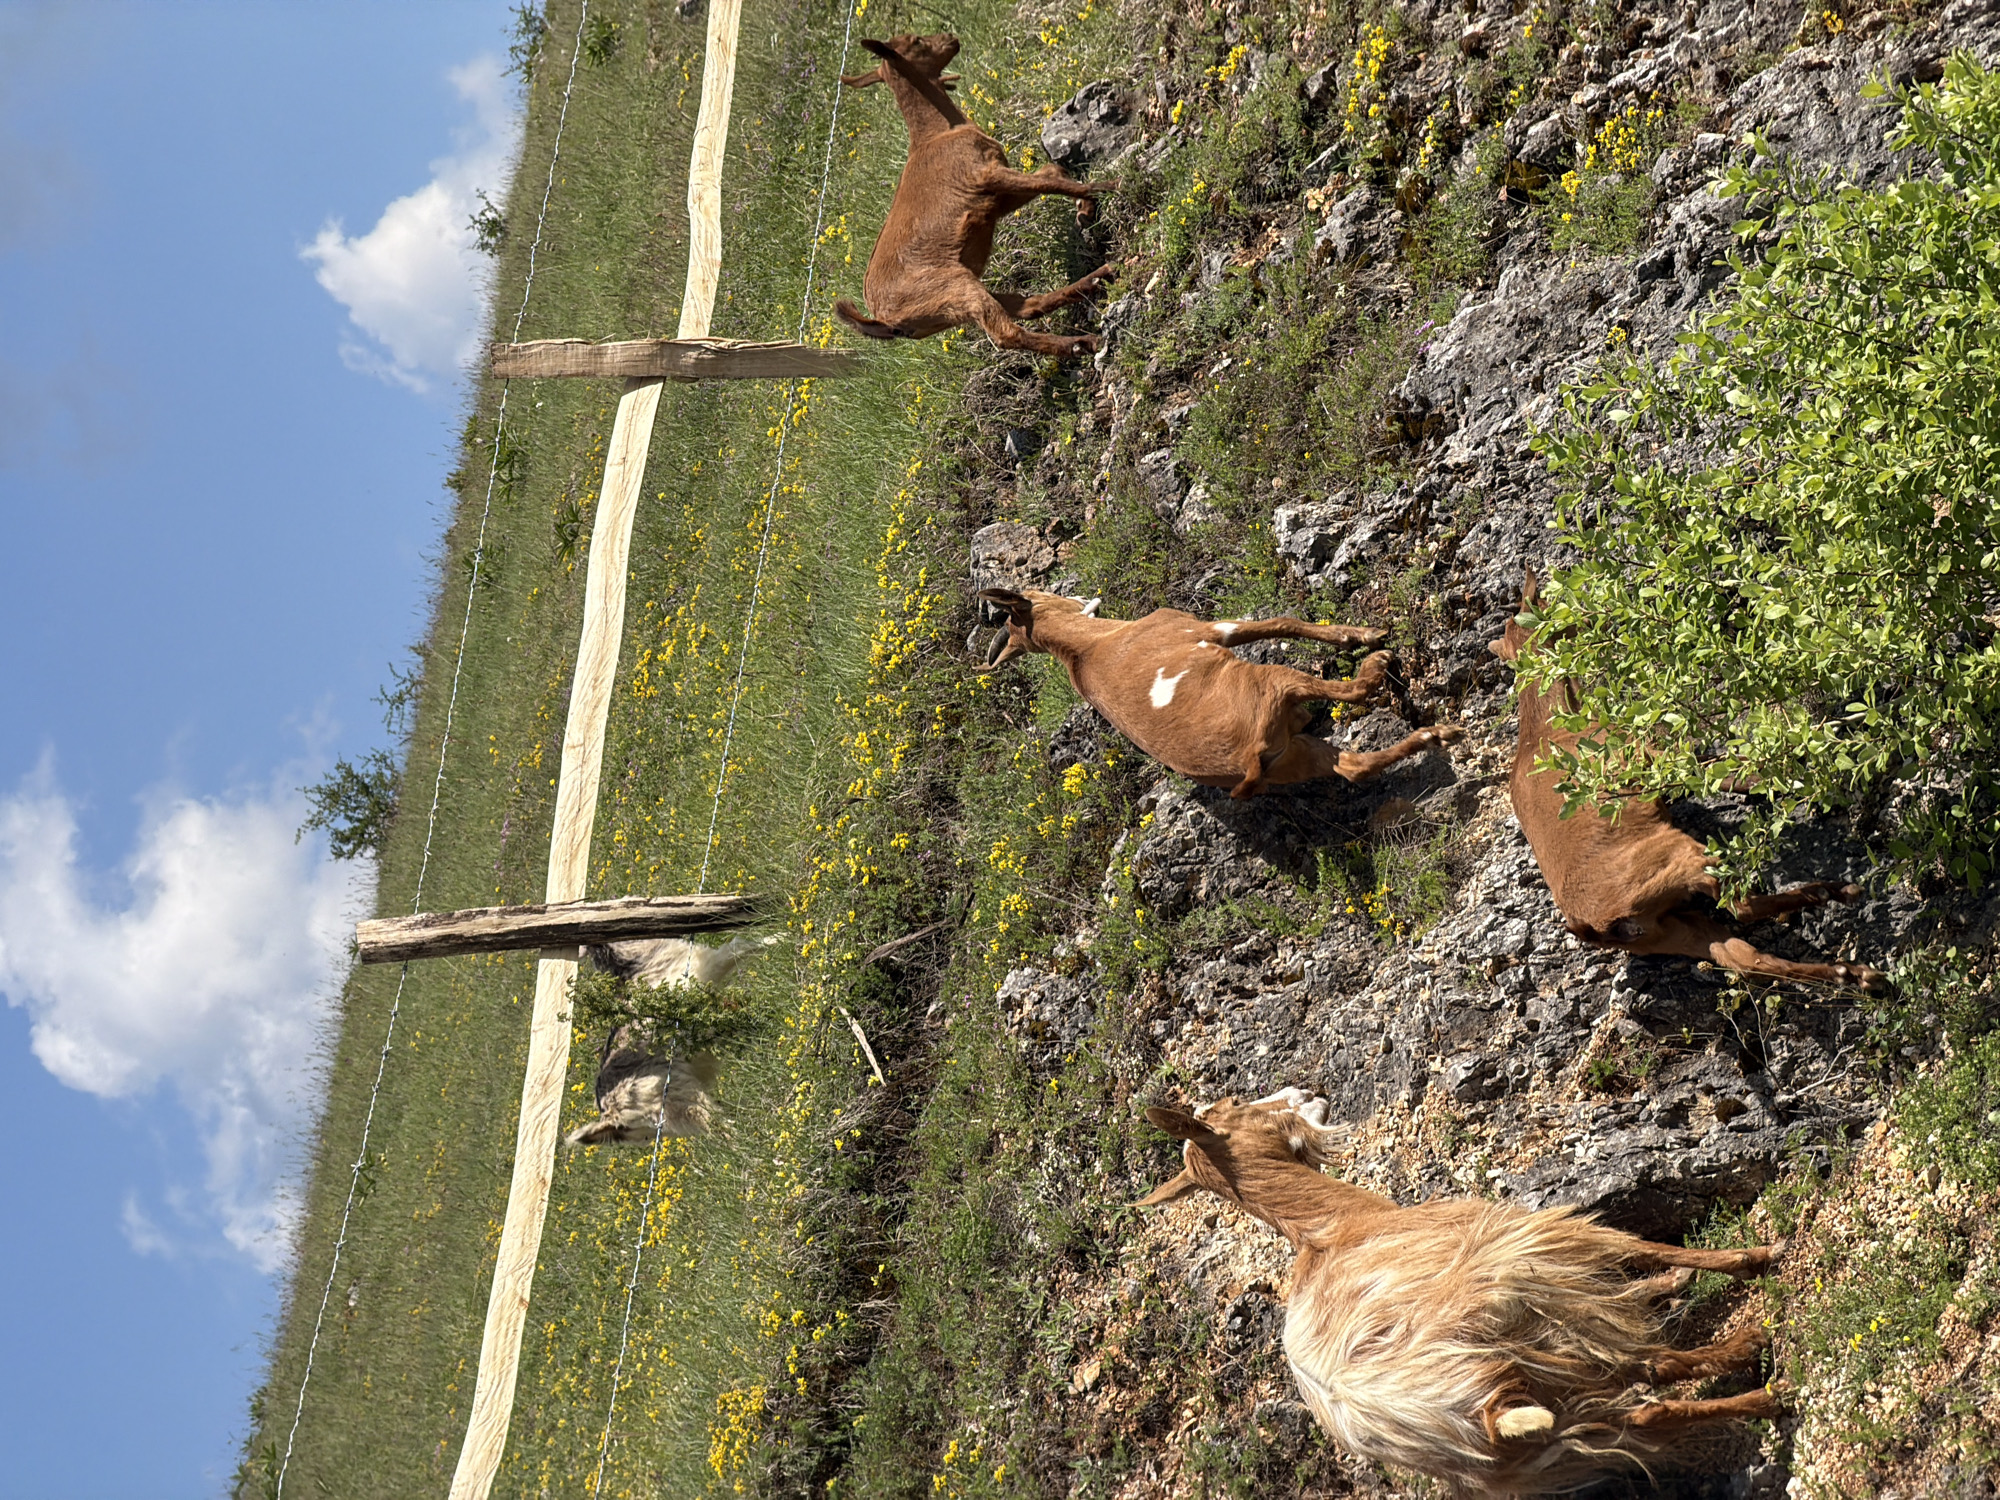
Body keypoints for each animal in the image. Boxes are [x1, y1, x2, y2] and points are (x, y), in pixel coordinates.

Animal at [562, 934, 776, 1147]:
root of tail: (612, 1118)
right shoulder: (705, 964)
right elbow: (742, 946)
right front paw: (778, 940)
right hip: (678, 1101)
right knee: (719, 1126)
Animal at [835, 34, 1116, 358]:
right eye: (916, 42)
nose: (951, 38)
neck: (937, 134)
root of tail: (882, 320)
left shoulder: (994, 197)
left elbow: (1051, 174)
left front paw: (1085, 212)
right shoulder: (985, 175)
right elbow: (1052, 181)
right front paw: (1110, 186)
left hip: (956, 297)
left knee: (1025, 306)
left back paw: (1098, 278)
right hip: (955, 288)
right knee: (1006, 332)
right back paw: (1085, 342)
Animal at [979, 587, 1462, 798]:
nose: (1079, 594)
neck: (1088, 648)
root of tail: (1247, 760)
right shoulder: (1208, 628)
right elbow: (1280, 622)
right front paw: (1358, 634)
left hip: (1294, 757)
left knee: (1355, 768)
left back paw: (1434, 736)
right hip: (1275, 684)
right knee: (1355, 692)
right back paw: (1379, 666)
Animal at [1141, 1089, 1782, 1496]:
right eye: (1232, 1107)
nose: (1305, 1092)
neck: (1332, 1228)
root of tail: (1481, 1419)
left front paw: (1670, 1287)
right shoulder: (1538, 1237)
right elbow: (1640, 1246)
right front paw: (1747, 1259)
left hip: (1549, 1427)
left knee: (1647, 1409)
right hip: (1532, 1324)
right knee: (1651, 1368)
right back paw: (1756, 1368)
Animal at [1490, 574, 1887, 990]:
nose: (1585, 618)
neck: (1547, 727)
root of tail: (1599, 926)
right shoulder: (1647, 757)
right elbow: (1716, 771)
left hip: (1672, 930)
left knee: (1748, 959)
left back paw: (1855, 973)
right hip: (1681, 859)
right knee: (1741, 908)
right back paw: (1835, 895)